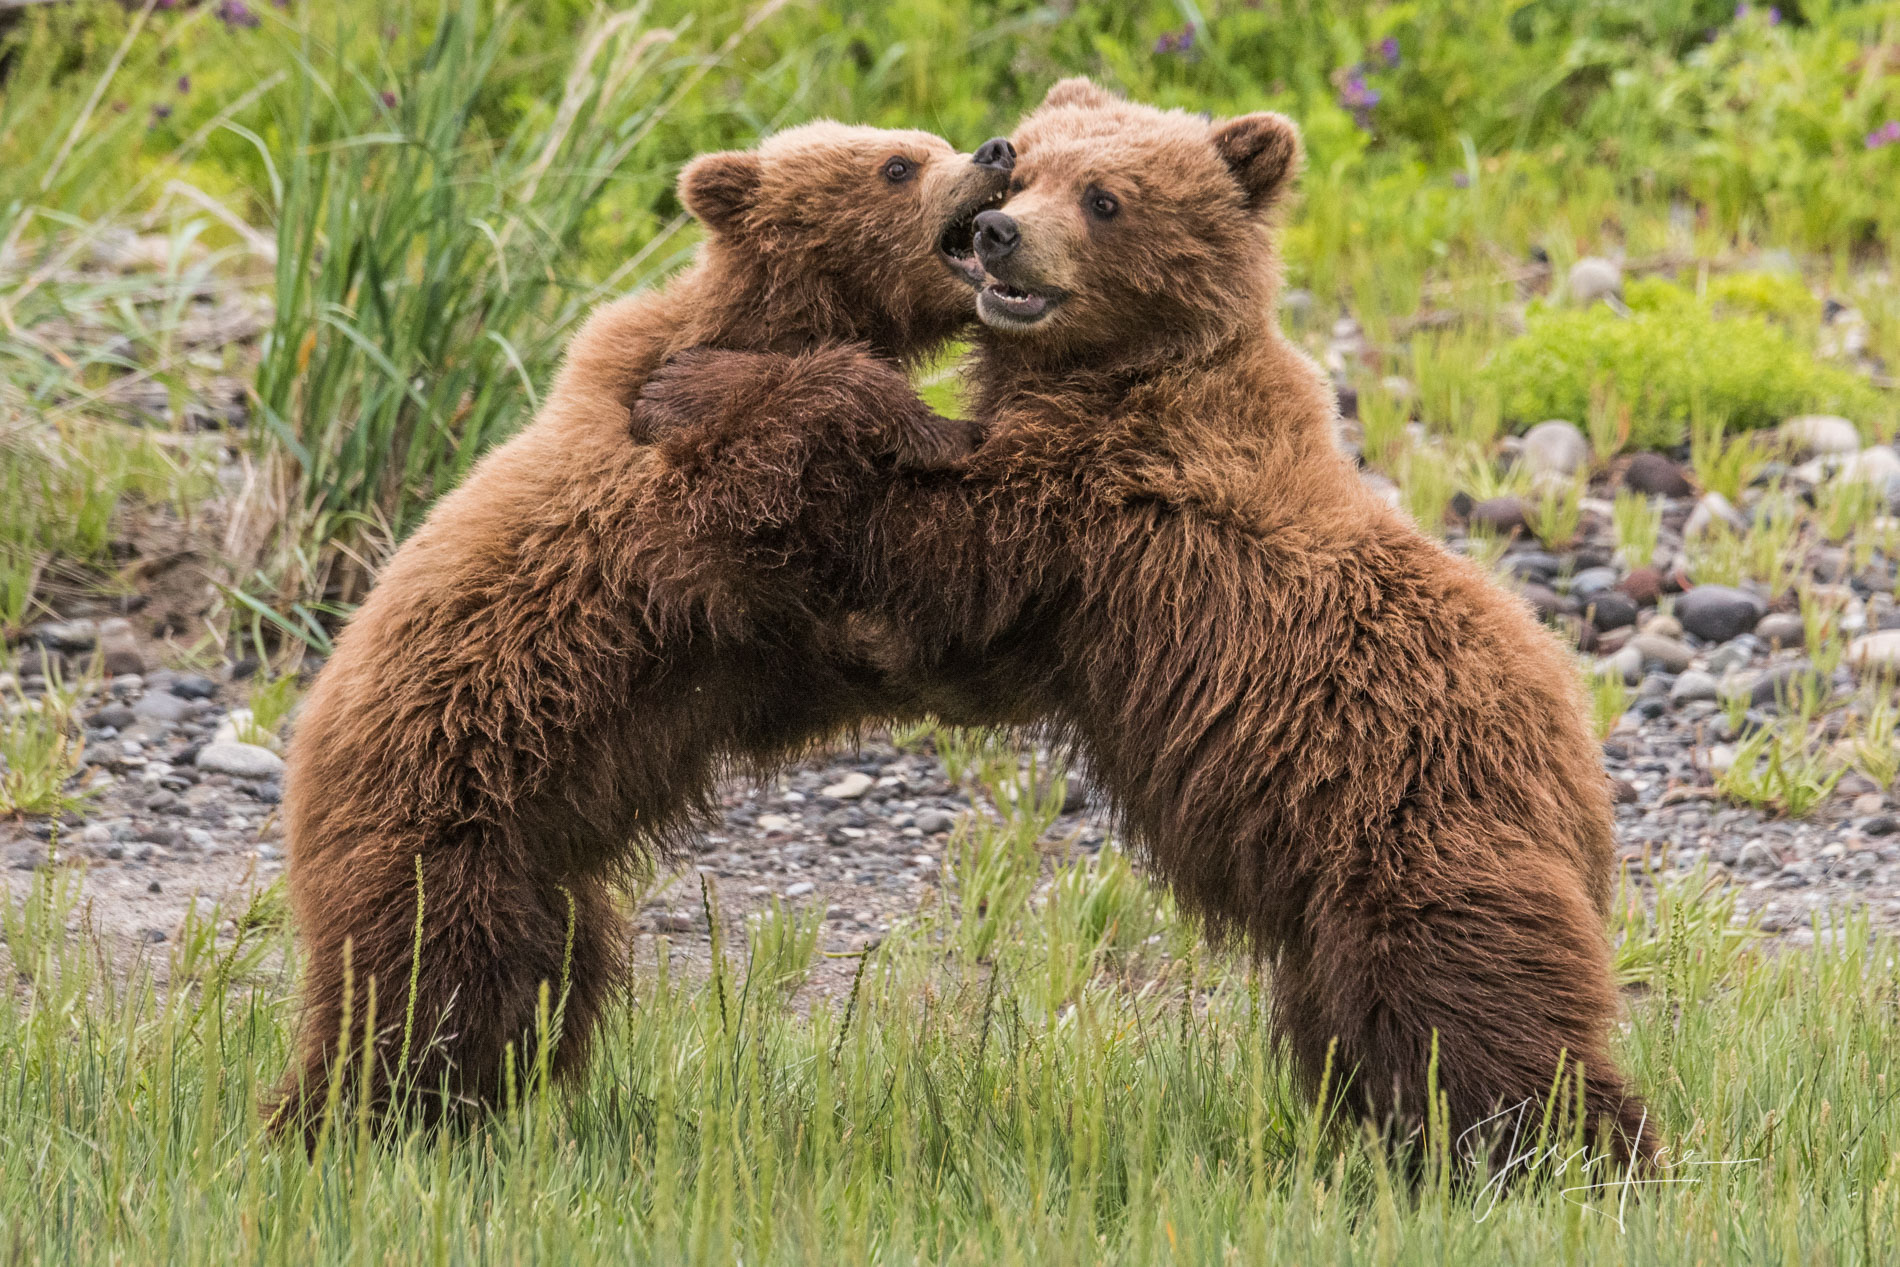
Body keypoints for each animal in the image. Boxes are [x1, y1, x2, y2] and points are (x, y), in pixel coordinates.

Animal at [273, 123, 1018, 1147]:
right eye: (896, 163)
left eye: (928, 142)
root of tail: (302, 774)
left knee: (546, 987)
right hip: (438, 828)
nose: (996, 149)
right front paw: (923, 420)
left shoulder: (743, 640)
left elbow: (810, 661)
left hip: (545, 879)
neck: (766, 317)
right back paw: (343, 1121)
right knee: (423, 986)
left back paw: (479, 1115)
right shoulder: (650, 503)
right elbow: (746, 451)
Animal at [638, 81, 1649, 1170]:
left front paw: (691, 386)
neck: (1112, 369)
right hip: (1342, 906)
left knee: (1472, 1016)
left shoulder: (1109, 496)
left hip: (1416, 837)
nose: (998, 234)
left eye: (1105, 197)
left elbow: (937, 540)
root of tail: (1580, 766)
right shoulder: (1072, 596)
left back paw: (1572, 1152)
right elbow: (968, 639)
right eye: (1027, 167)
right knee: (1353, 1026)